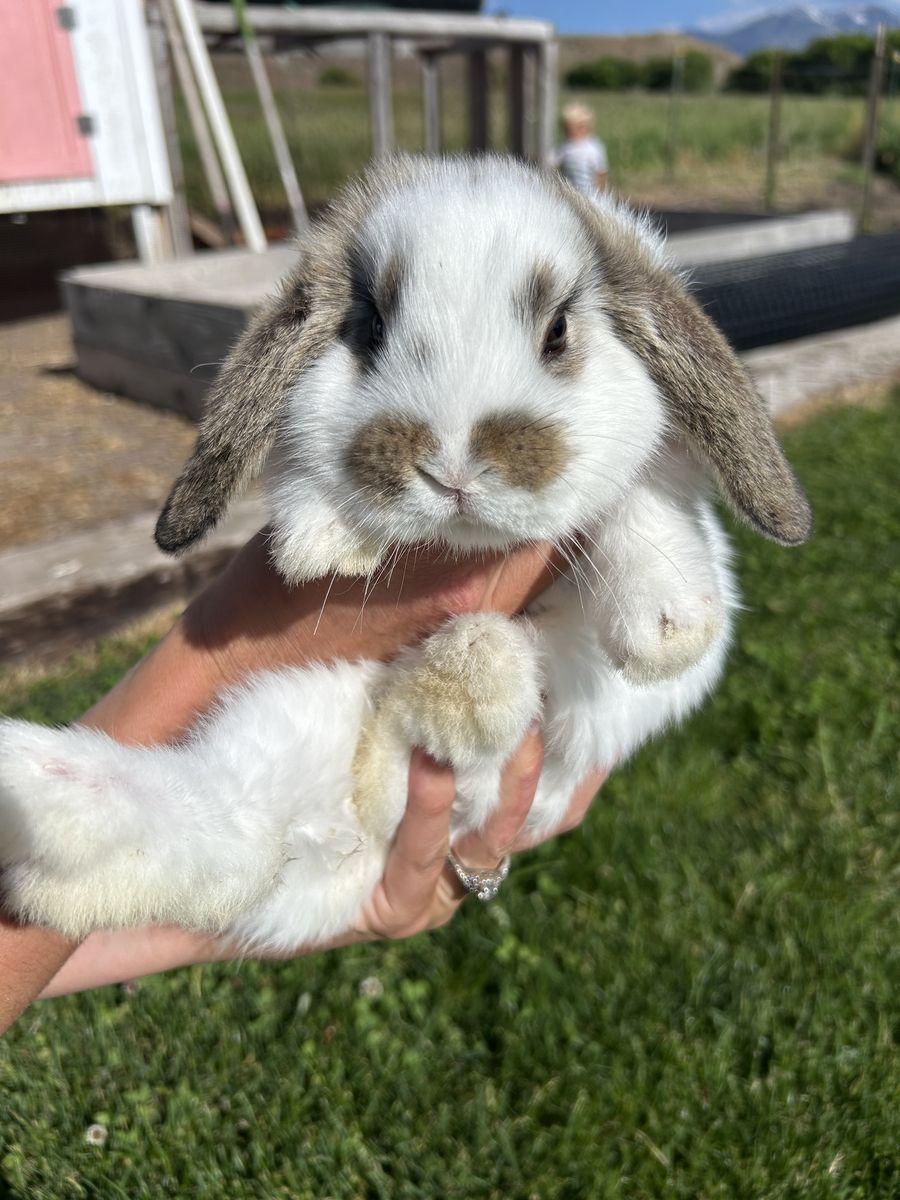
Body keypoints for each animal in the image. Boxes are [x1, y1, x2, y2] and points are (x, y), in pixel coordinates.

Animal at [0, 156, 811, 953]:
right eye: (368, 328)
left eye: (558, 330)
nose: (452, 469)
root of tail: (351, 838)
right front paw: (320, 537)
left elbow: (644, 494)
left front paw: (668, 625)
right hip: (284, 715)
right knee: (225, 831)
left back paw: (462, 682)